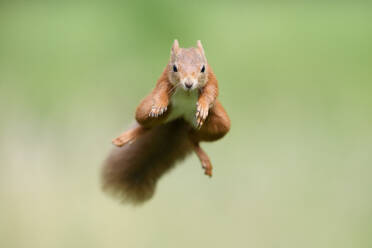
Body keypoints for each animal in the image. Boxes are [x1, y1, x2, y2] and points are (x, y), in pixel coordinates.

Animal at [101, 40, 230, 203]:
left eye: (203, 68)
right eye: (174, 67)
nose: (189, 84)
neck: (187, 92)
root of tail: (181, 118)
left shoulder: (211, 78)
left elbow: (211, 91)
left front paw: (203, 105)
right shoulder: (164, 77)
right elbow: (160, 89)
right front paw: (160, 103)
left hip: (221, 124)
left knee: (193, 137)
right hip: (144, 111)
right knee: (147, 126)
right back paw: (127, 137)